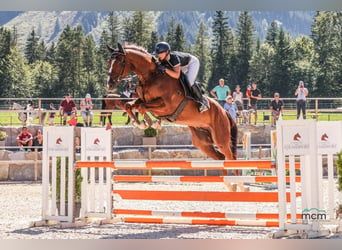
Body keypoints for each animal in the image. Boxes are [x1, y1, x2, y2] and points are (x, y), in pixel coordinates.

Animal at [107, 43, 238, 160]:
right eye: (109, 62)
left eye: (120, 62)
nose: (109, 85)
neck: (152, 76)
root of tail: (224, 112)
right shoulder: (142, 100)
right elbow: (129, 105)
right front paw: (142, 123)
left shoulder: (166, 106)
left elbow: (142, 107)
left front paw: (151, 123)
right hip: (202, 141)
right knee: (220, 157)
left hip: (221, 139)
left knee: (231, 157)